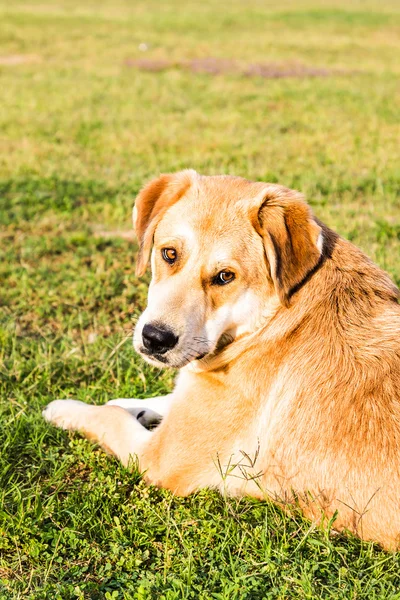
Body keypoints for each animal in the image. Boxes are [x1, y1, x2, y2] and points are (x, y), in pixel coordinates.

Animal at [43, 171, 400, 552]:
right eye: (169, 254)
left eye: (225, 276)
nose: (155, 338)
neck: (273, 321)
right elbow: (153, 401)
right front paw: (126, 403)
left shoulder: (157, 458)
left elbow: (109, 418)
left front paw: (65, 409)